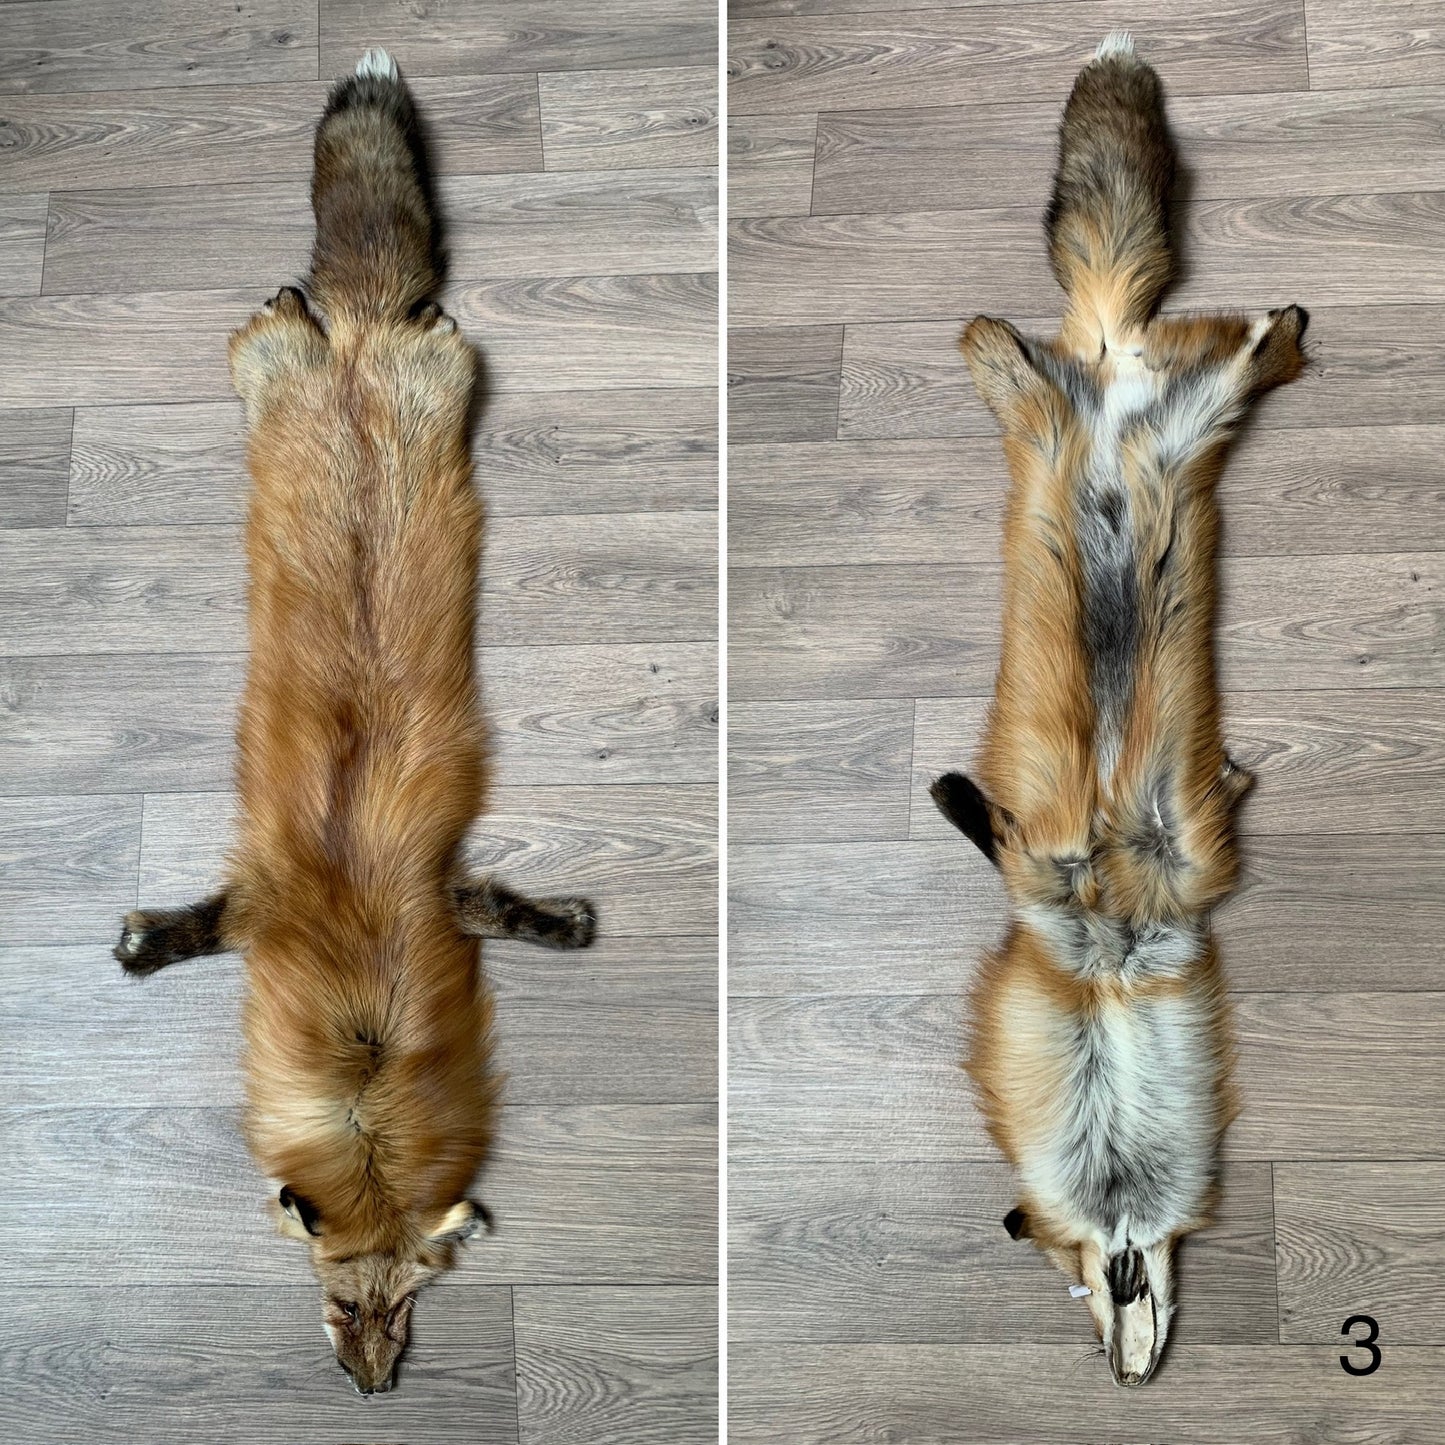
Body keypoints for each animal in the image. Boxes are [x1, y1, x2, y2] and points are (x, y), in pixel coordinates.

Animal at [113, 49, 597, 1395]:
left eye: (402, 1310)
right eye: (341, 1307)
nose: (375, 1391)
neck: (364, 1059)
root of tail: (363, 346)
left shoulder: (438, 895)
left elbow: (516, 909)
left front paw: (567, 923)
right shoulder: (269, 903)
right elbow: (193, 927)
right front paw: (142, 946)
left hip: (434, 377)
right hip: (284, 366)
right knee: (293, 318)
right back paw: (301, 298)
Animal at [930, 32, 1306, 1386]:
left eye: (1070, 1283)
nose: (1122, 1373)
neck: (1103, 965)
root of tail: (1103, 362)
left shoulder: (1177, 852)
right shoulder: (1083, 864)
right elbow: (994, 826)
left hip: (1142, 416)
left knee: (1212, 349)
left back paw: (1279, 327)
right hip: (1104, 415)